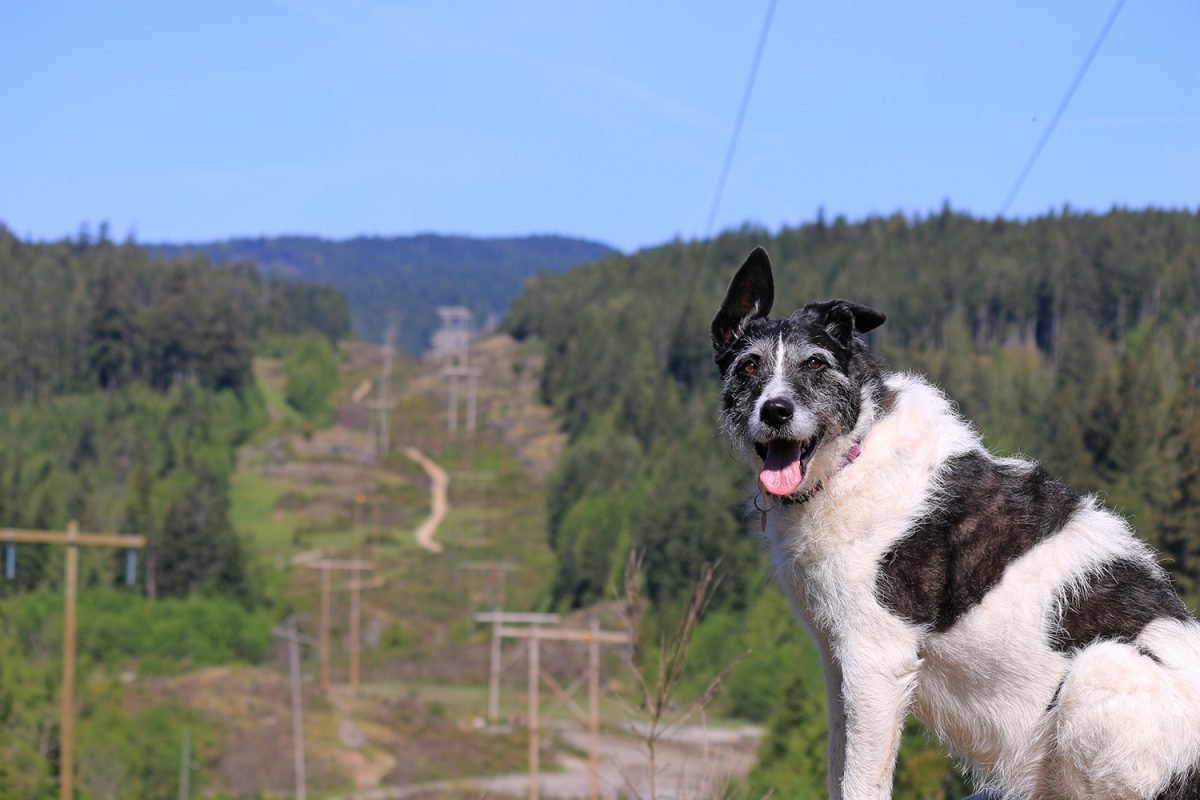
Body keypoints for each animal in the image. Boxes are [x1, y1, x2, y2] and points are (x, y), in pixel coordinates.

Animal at [710, 245, 1200, 800]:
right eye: (749, 366)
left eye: (815, 363)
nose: (776, 411)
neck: (851, 458)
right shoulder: (837, 663)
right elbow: (838, 766)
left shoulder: (876, 661)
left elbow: (862, 780)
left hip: (1100, 671)